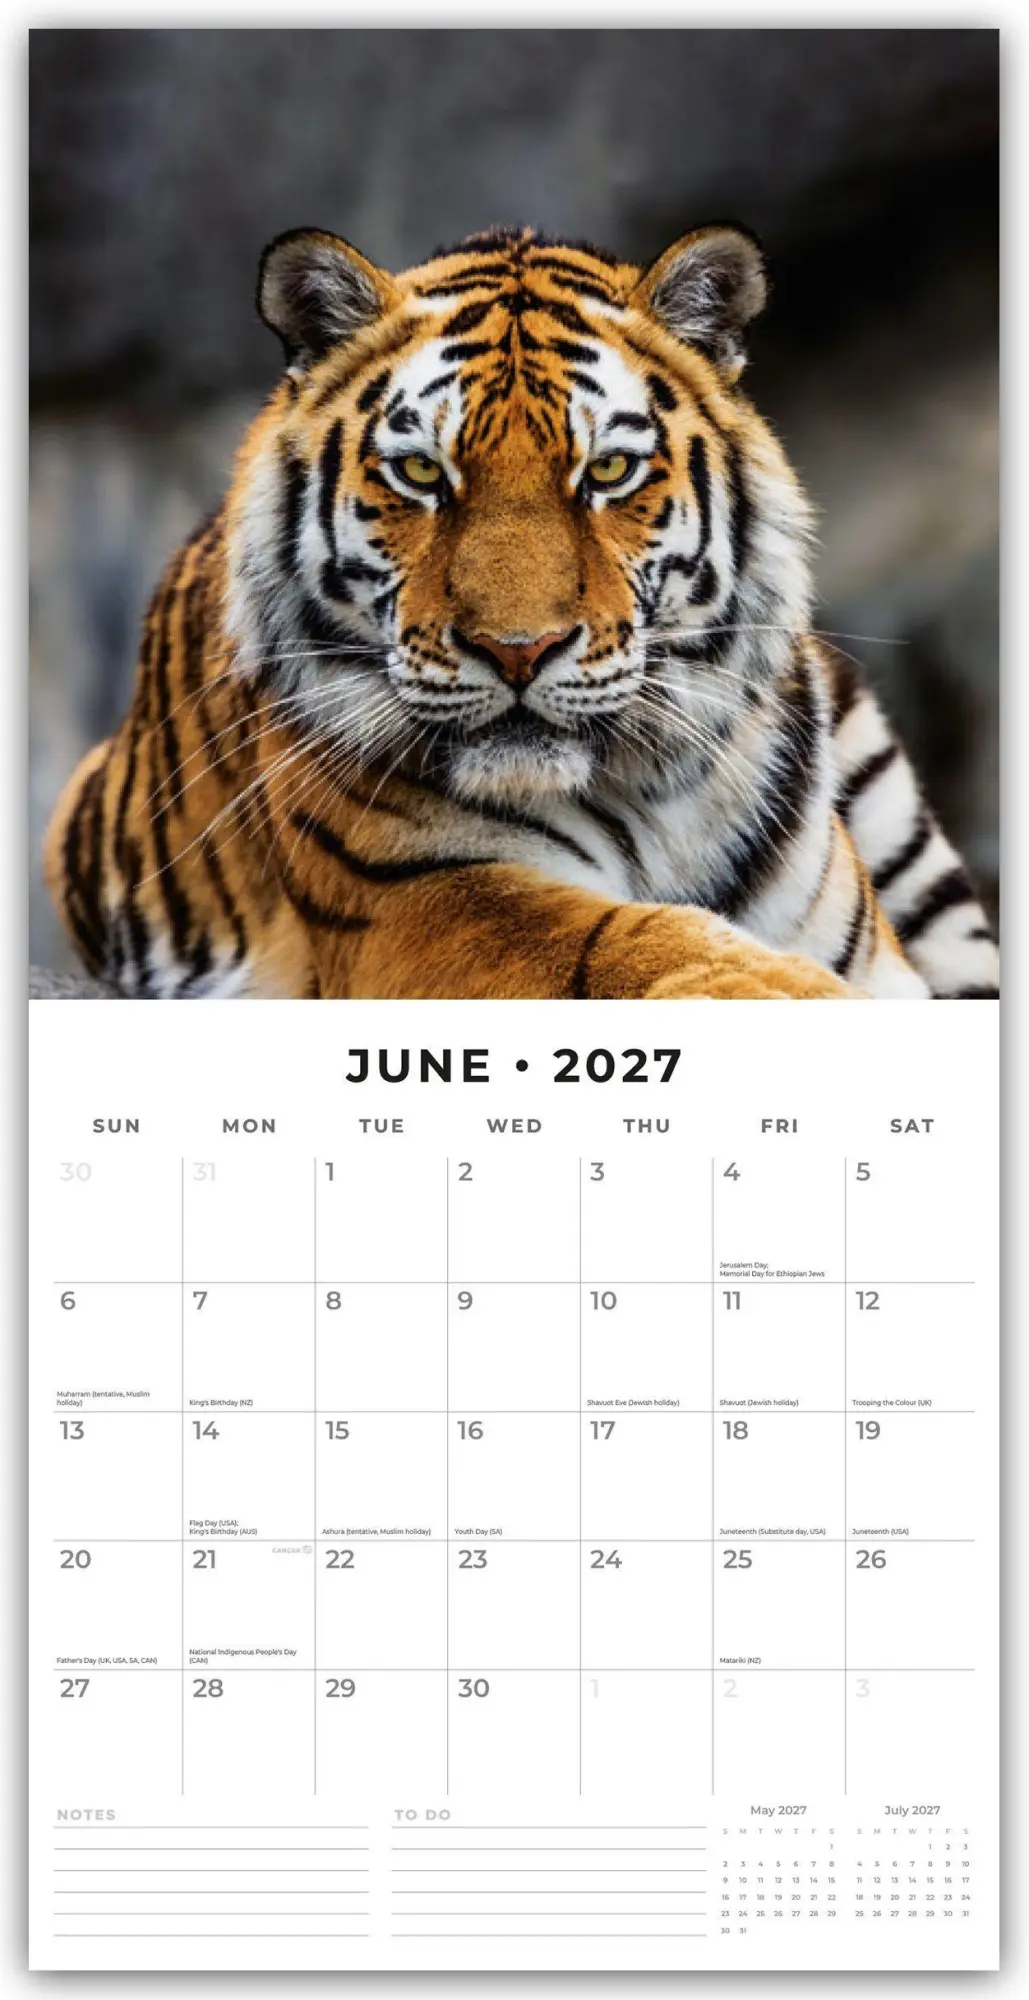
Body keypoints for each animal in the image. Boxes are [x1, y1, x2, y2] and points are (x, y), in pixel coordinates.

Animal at [44, 223, 999, 1001]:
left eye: (607, 471)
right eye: (421, 474)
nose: (516, 651)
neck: (651, 799)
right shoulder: (424, 901)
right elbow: (634, 941)